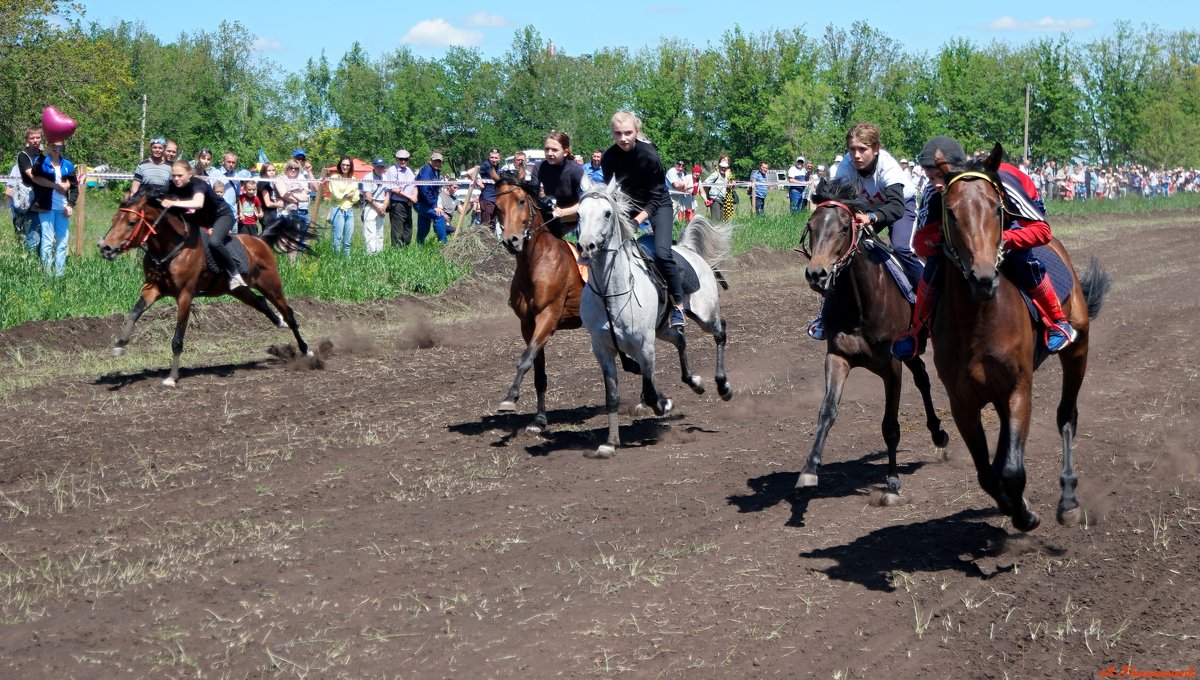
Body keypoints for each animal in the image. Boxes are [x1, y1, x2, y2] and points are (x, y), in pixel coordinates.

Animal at [99, 189, 314, 386]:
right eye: (115, 219)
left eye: (131, 222)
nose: (105, 248)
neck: (172, 247)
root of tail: (259, 240)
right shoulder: (152, 290)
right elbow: (134, 313)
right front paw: (119, 345)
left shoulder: (185, 295)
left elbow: (177, 339)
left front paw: (172, 377)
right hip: (239, 290)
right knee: (261, 304)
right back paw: (279, 323)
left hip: (271, 285)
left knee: (289, 313)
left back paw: (306, 349)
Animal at [492, 175, 585, 431]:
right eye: (497, 206)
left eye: (522, 201)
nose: (511, 240)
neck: (536, 263)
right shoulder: (528, 324)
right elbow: (538, 371)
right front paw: (539, 419)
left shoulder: (548, 316)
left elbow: (524, 360)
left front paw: (510, 397)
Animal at [578, 178, 734, 460]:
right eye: (579, 214)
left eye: (607, 213)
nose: (586, 247)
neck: (611, 293)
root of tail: (686, 249)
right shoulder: (602, 349)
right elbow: (612, 395)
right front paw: (610, 443)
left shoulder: (644, 344)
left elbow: (650, 391)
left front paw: (664, 403)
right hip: (663, 329)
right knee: (681, 340)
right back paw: (694, 382)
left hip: (705, 316)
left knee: (720, 332)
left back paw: (723, 386)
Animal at [796, 181, 945, 506]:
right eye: (811, 226)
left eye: (843, 228)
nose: (816, 274)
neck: (861, 303)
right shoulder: (837, 357)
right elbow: (827, 412)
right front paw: (809, 469)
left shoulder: (892, 365)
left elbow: (890, 426)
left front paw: (892, 483)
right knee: (923, 377)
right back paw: (938, 434)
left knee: (925, 380)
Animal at [931, 145, 1108, 532]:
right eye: (950, 212)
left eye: (996, 208)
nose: (982, 277)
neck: (978, 321)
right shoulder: (962, 402)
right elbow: (987, 472)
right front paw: (1012, 505)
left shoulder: (1018, 387)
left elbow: (1012, 471)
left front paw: (1025, 515)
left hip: (1079, 347)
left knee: (1066, 415)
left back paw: (1068, 499)